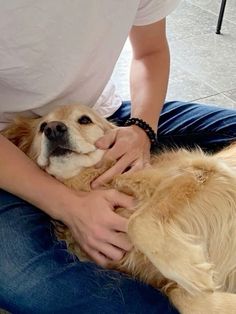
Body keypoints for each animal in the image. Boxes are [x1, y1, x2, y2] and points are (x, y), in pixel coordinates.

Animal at [2, 103, 236, 314]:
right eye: (42, 127)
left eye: (84, 120)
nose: (53, 129)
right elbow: (182, 298)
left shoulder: (198, 172)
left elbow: (137, 222)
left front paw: (190, 272)